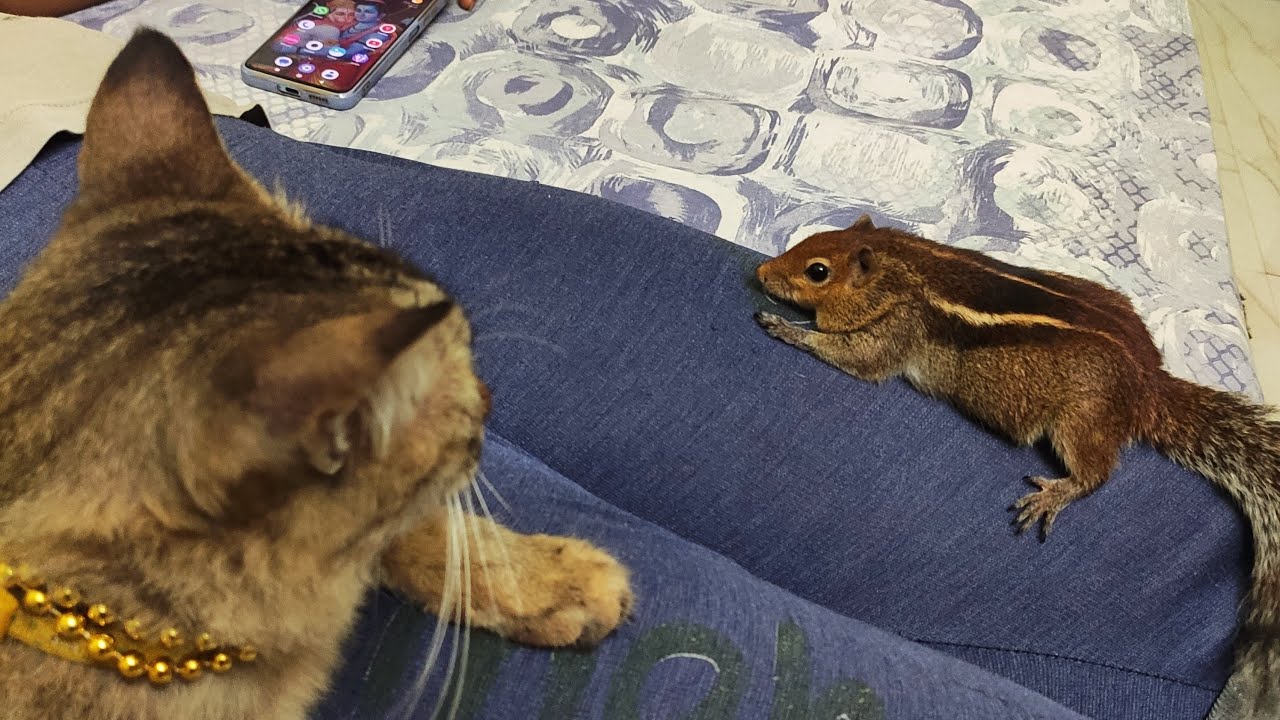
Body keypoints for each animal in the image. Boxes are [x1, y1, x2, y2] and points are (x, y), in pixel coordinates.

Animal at [754, 215, 1280, 719]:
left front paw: (785, 327)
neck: (904, 263)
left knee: (1097, 472)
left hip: (1079, 419)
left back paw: (1056, 494)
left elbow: (858, 357)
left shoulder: (898, 329)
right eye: (812, 238)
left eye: (817, 271)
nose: (760, 272)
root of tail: (1151, 387)